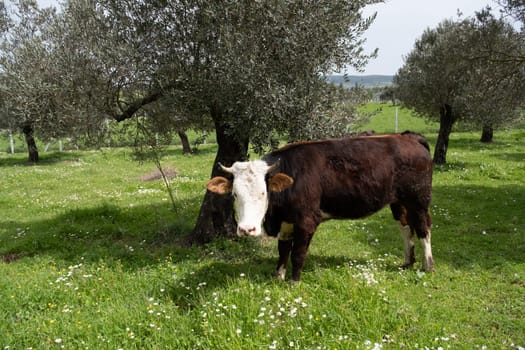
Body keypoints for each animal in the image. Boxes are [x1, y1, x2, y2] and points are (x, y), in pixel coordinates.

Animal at [207, 131, 432, 282]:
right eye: (235, 194)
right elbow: (283, 249)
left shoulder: (306, 221)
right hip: (398, 201)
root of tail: (407, 137)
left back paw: (427, 265)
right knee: (406, 227)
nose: (247, 229)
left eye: (263, 193)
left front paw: (294, 282)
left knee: (423, 228)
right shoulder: (286, 221)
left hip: (419, 199)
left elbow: (298, 253)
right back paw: (407, 262)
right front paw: (278, 275)